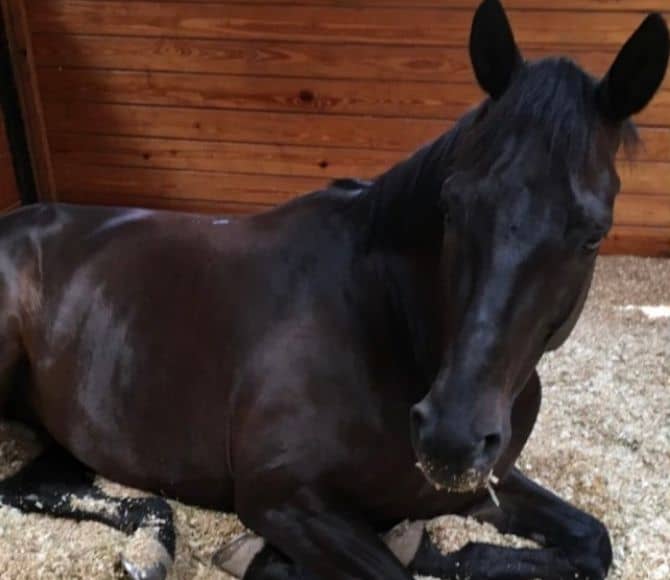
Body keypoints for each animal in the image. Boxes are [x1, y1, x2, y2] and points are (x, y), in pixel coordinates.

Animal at [1, 1, 670, 580]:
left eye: (593, 235)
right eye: (452, 205)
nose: (450, 439)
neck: (386, 328)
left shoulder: (477, 482)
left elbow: (591, 541)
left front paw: (450, 551)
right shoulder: (284, 501)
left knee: (41, 487)